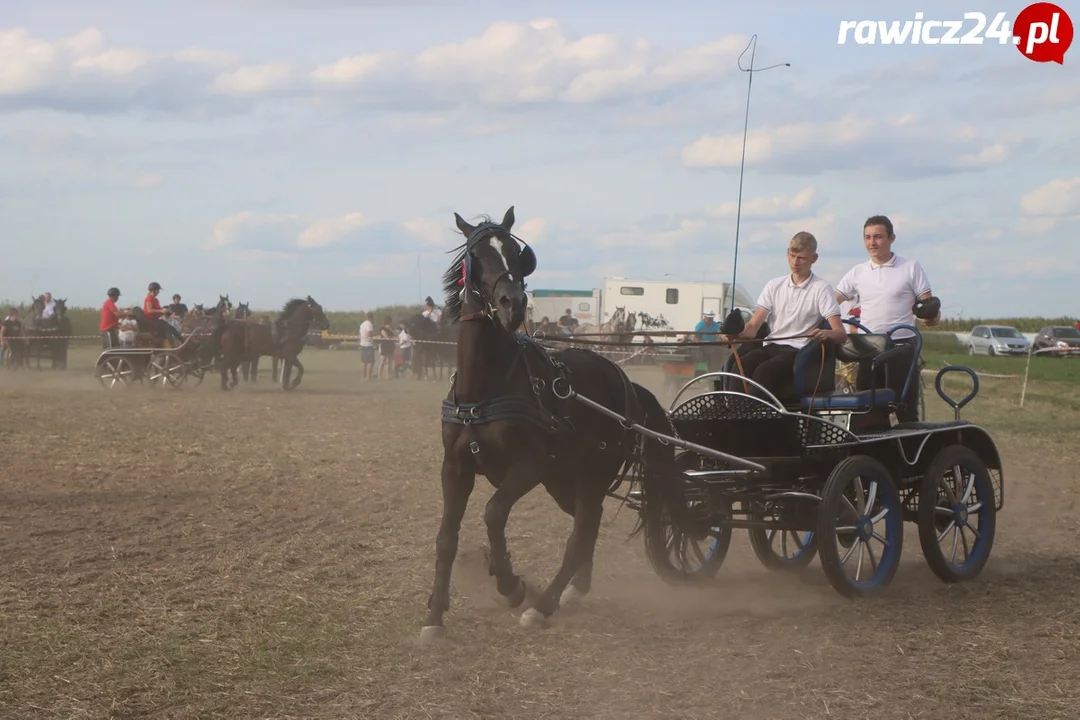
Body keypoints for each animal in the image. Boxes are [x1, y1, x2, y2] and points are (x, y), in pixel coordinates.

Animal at [416, 205, 695, 643]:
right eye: (475, 256)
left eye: (517, 253)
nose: (512, 303)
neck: (486, 388)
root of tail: (625, 381)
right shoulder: (455, 468)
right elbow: (446, 538)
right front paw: (434, 618)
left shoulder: (528, 467)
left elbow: (493, 513)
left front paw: (510, 584)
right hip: (565, 480)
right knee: (587, 524)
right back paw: (574, 590)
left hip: (591, 474)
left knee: (580, 535)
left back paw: (542, 605)